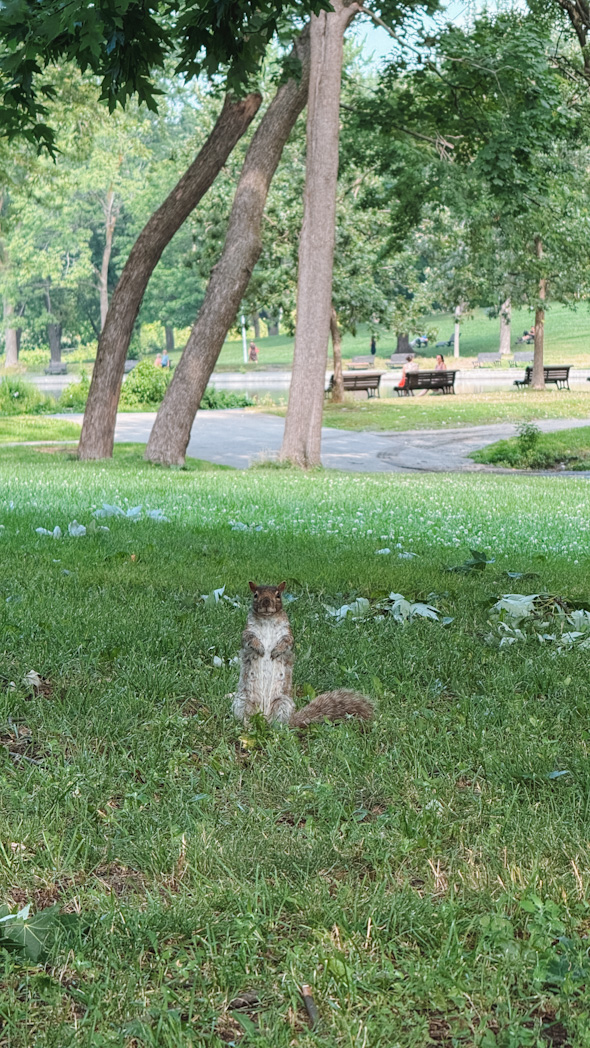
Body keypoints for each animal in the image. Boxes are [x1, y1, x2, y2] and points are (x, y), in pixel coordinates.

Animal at [232, 581, 374, 727]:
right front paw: (259, 647)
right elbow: (249, 638)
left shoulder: (288, 633)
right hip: (243, 701)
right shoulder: (247, 631)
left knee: (280, 724)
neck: (267, 619)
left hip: (283, 704)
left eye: (278, 595)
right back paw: (248, 725)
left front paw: (277, 650)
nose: (266, 602)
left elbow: (287, 641)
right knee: (247, 716)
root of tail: (264, 718)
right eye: (255, 595)